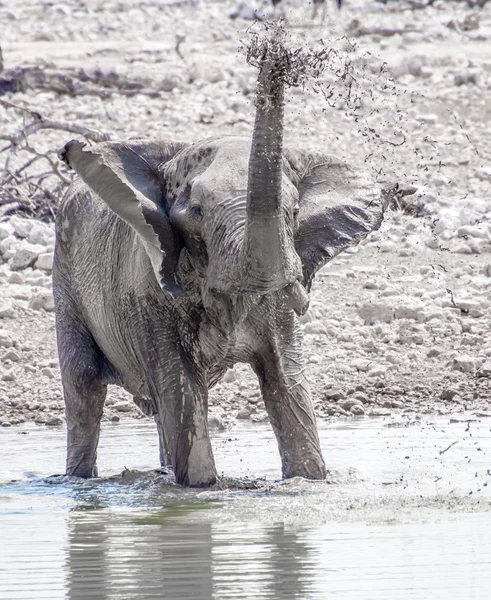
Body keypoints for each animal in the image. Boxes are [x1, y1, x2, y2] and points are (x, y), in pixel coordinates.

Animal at [52, 34, 384, 488]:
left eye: (295, 212)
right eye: (196, 213)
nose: (273, 50)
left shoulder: (277, 308)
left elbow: (287, 385)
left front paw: (310, 481)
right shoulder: (148, 296)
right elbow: (181, 392)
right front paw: (200, 491)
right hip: (65, 275)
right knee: (85, 388)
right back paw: (78, 482)